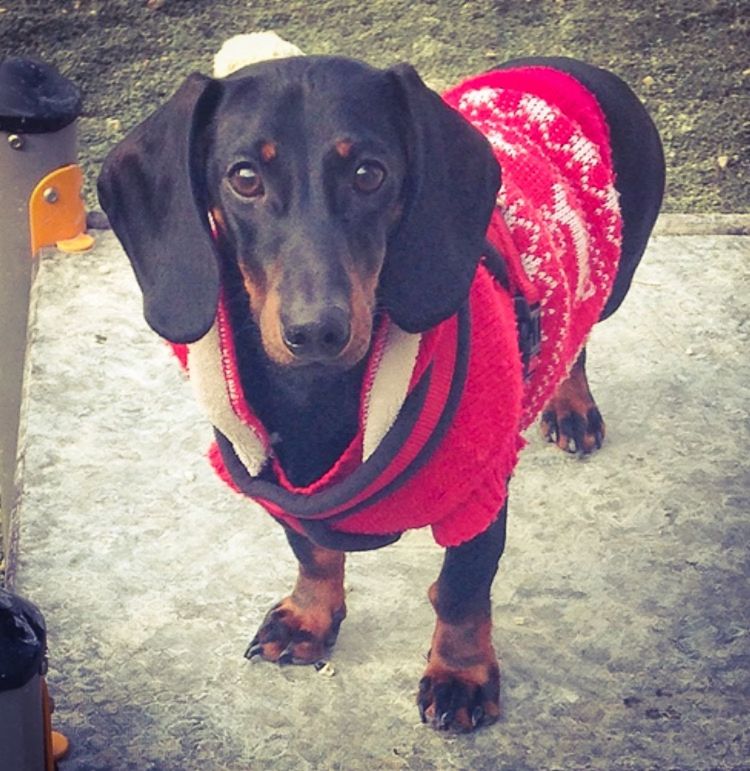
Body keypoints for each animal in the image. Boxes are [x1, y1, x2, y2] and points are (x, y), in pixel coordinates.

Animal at [98, 40, 664, 728]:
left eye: (370, 173)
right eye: (244, 178)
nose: (316, 331)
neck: (317, 399)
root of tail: (574, 67)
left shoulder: (480, 489)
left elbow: (461, 590)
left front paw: (460, 676)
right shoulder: (284, 490)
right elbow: (312, 552)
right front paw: (308, 620)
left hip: (614, 282)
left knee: (580, 334)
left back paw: (572, 406)